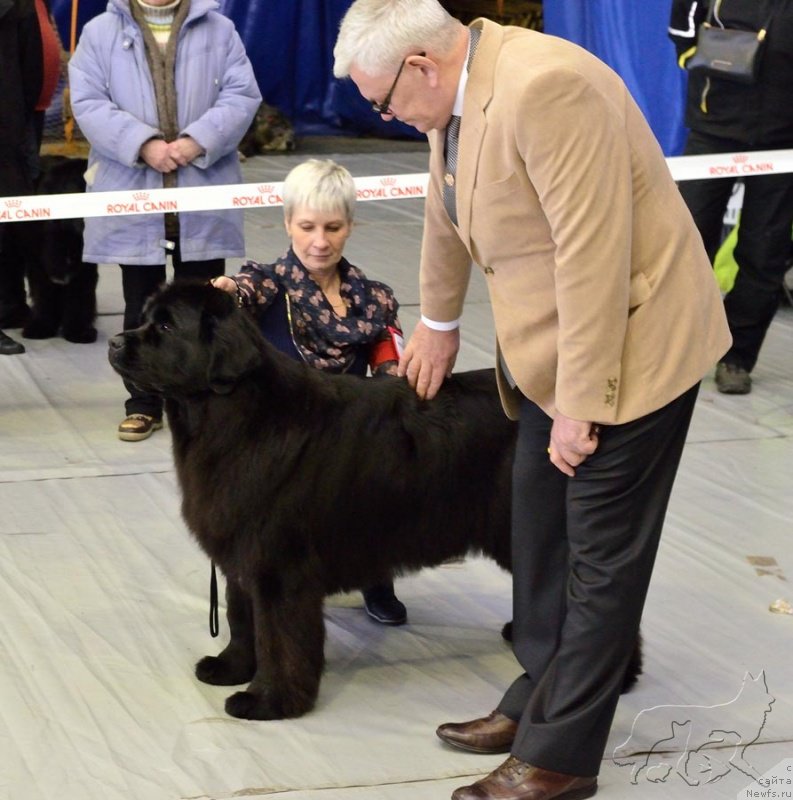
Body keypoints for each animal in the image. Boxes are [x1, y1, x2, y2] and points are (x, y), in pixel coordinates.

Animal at [108, 282, 640, 720]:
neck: (231, 415)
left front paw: (269, 701)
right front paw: (231, 668)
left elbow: (278, 638)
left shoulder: (279, 567)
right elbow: (243, 620)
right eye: (147, 318)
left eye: (165, 326)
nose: (115, 341)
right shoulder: (241, 552)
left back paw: (616, 678)